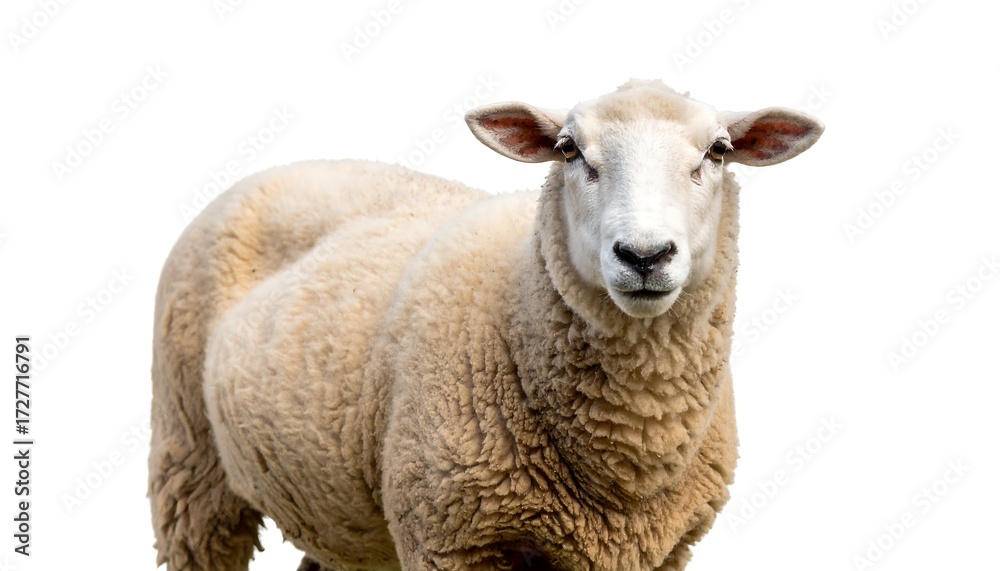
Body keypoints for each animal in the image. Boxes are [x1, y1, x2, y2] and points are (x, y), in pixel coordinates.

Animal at [148, 78, 823, 571]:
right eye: (569, 149)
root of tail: (284, 168)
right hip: (189, 461)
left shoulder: (664, 552)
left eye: (718, 151)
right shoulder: (448, 540)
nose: (644, 255)